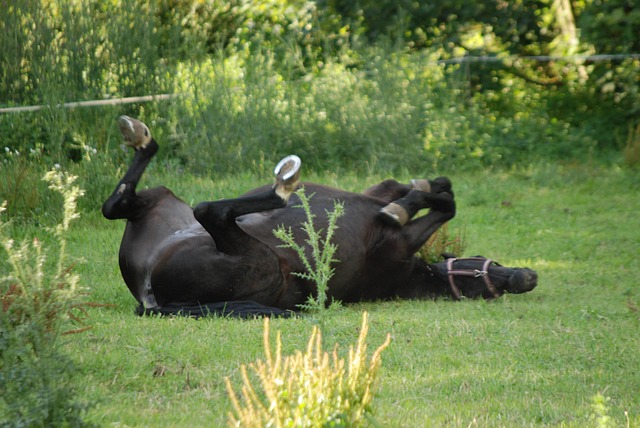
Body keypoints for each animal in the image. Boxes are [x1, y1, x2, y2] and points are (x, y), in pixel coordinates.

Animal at [102, 116, 537, 317]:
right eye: (488, 265)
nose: (526, 277)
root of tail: (150, 298)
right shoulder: (379, 199)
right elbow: (431, 191)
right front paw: (415, 193)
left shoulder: (396, 242)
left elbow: (436, 205)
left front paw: (403, 206)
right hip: (163, 199)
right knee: (121, 205)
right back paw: (139, 134)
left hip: (252, 256)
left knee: (208, 210)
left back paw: (283, 184)